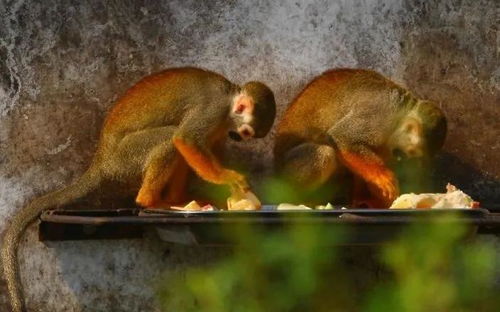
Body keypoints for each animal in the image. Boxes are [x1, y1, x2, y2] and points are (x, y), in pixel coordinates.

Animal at [0, 66, 278, 312]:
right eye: (246, 132)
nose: (238, 138)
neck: (230, 98)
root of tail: (102, 162)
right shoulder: (213, 108)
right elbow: (185, 139)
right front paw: (227, 179)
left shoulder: (221, 122)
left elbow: (201, 147)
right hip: (126, 157)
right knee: (168, 138)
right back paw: (150, 201)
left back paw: (174, 198)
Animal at [276, 69, 448, 208]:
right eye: (411, 152)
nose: (401, 158)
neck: (400, 114)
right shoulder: (380, 113)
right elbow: (343, 139)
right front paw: (383, 178)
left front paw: (371, 200)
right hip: (287, 175)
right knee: (325, 152)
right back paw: (299, 200)